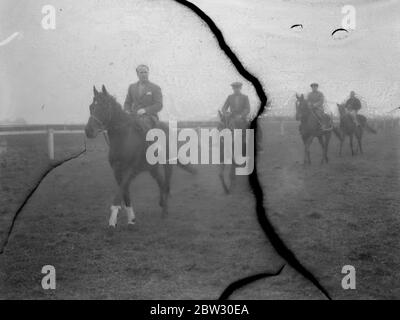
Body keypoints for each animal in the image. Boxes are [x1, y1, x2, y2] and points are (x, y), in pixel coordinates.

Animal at [85, 84, 195, 226]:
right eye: (91, 107)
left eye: (104, 106)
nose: (88, 131)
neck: (124, 139)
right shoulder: (117, 172)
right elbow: (125, 193)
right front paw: (131, 219)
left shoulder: (131, 170)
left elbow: (120, 191)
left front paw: (113, 218)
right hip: (152, 168)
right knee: (161, 182)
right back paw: (162, 204)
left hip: (167, 165)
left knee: (166, 185)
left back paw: (164, 211)